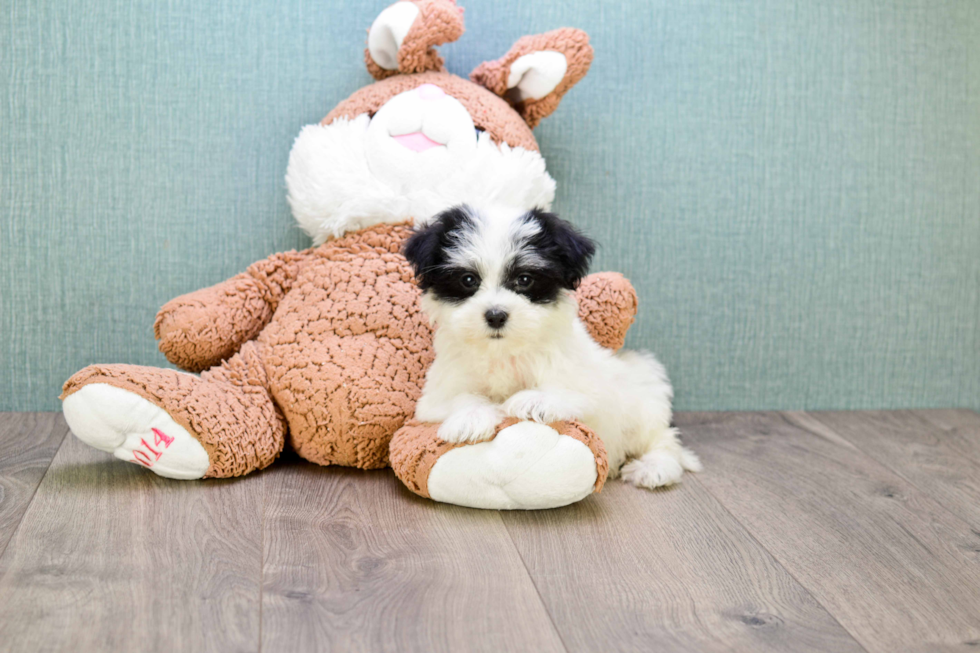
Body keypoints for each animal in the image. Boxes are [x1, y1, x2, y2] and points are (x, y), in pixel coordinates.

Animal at [406, 206, 704, 486]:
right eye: (468, 280)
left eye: (524, 279)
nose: (496, 315)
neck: (505, 351)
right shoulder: (437, 392)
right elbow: (457, 397)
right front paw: (470, 418)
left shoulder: (592, 386)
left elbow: (571, 391)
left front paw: (532, 400)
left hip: (644, 397)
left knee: (662, 439)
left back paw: (654, 467)